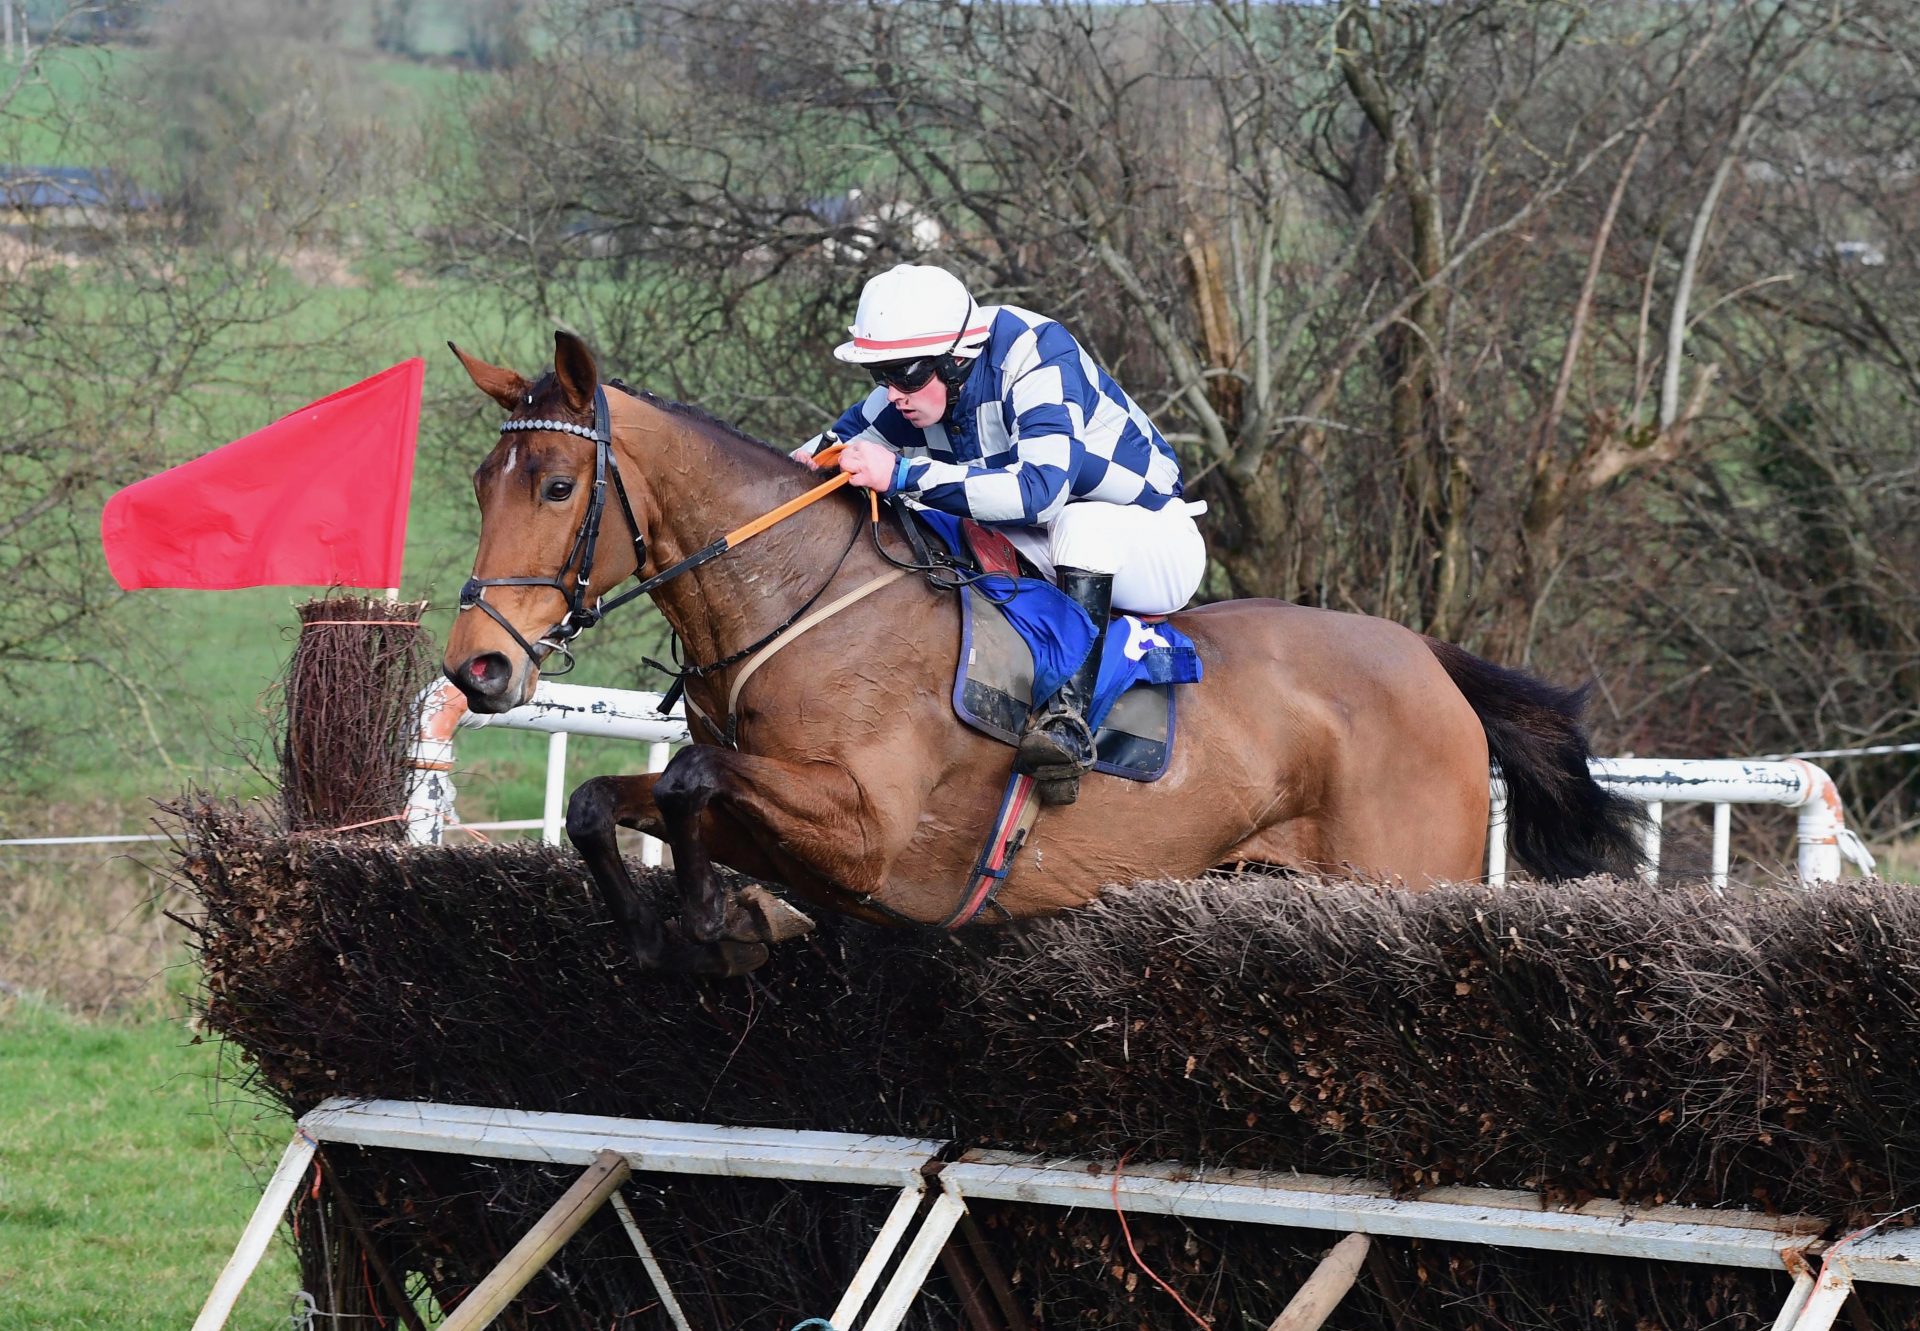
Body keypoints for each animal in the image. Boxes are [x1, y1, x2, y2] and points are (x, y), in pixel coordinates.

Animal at [441, 332, 1643, 975]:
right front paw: (676, 927)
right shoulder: (796, 826)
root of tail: (1433, 661)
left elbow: (691, 775)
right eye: (481, 484)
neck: (799, 603)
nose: (477, 670)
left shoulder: (866, 831)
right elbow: (604, 799)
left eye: (559, 486)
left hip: (1403, 879)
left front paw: (700, 918)